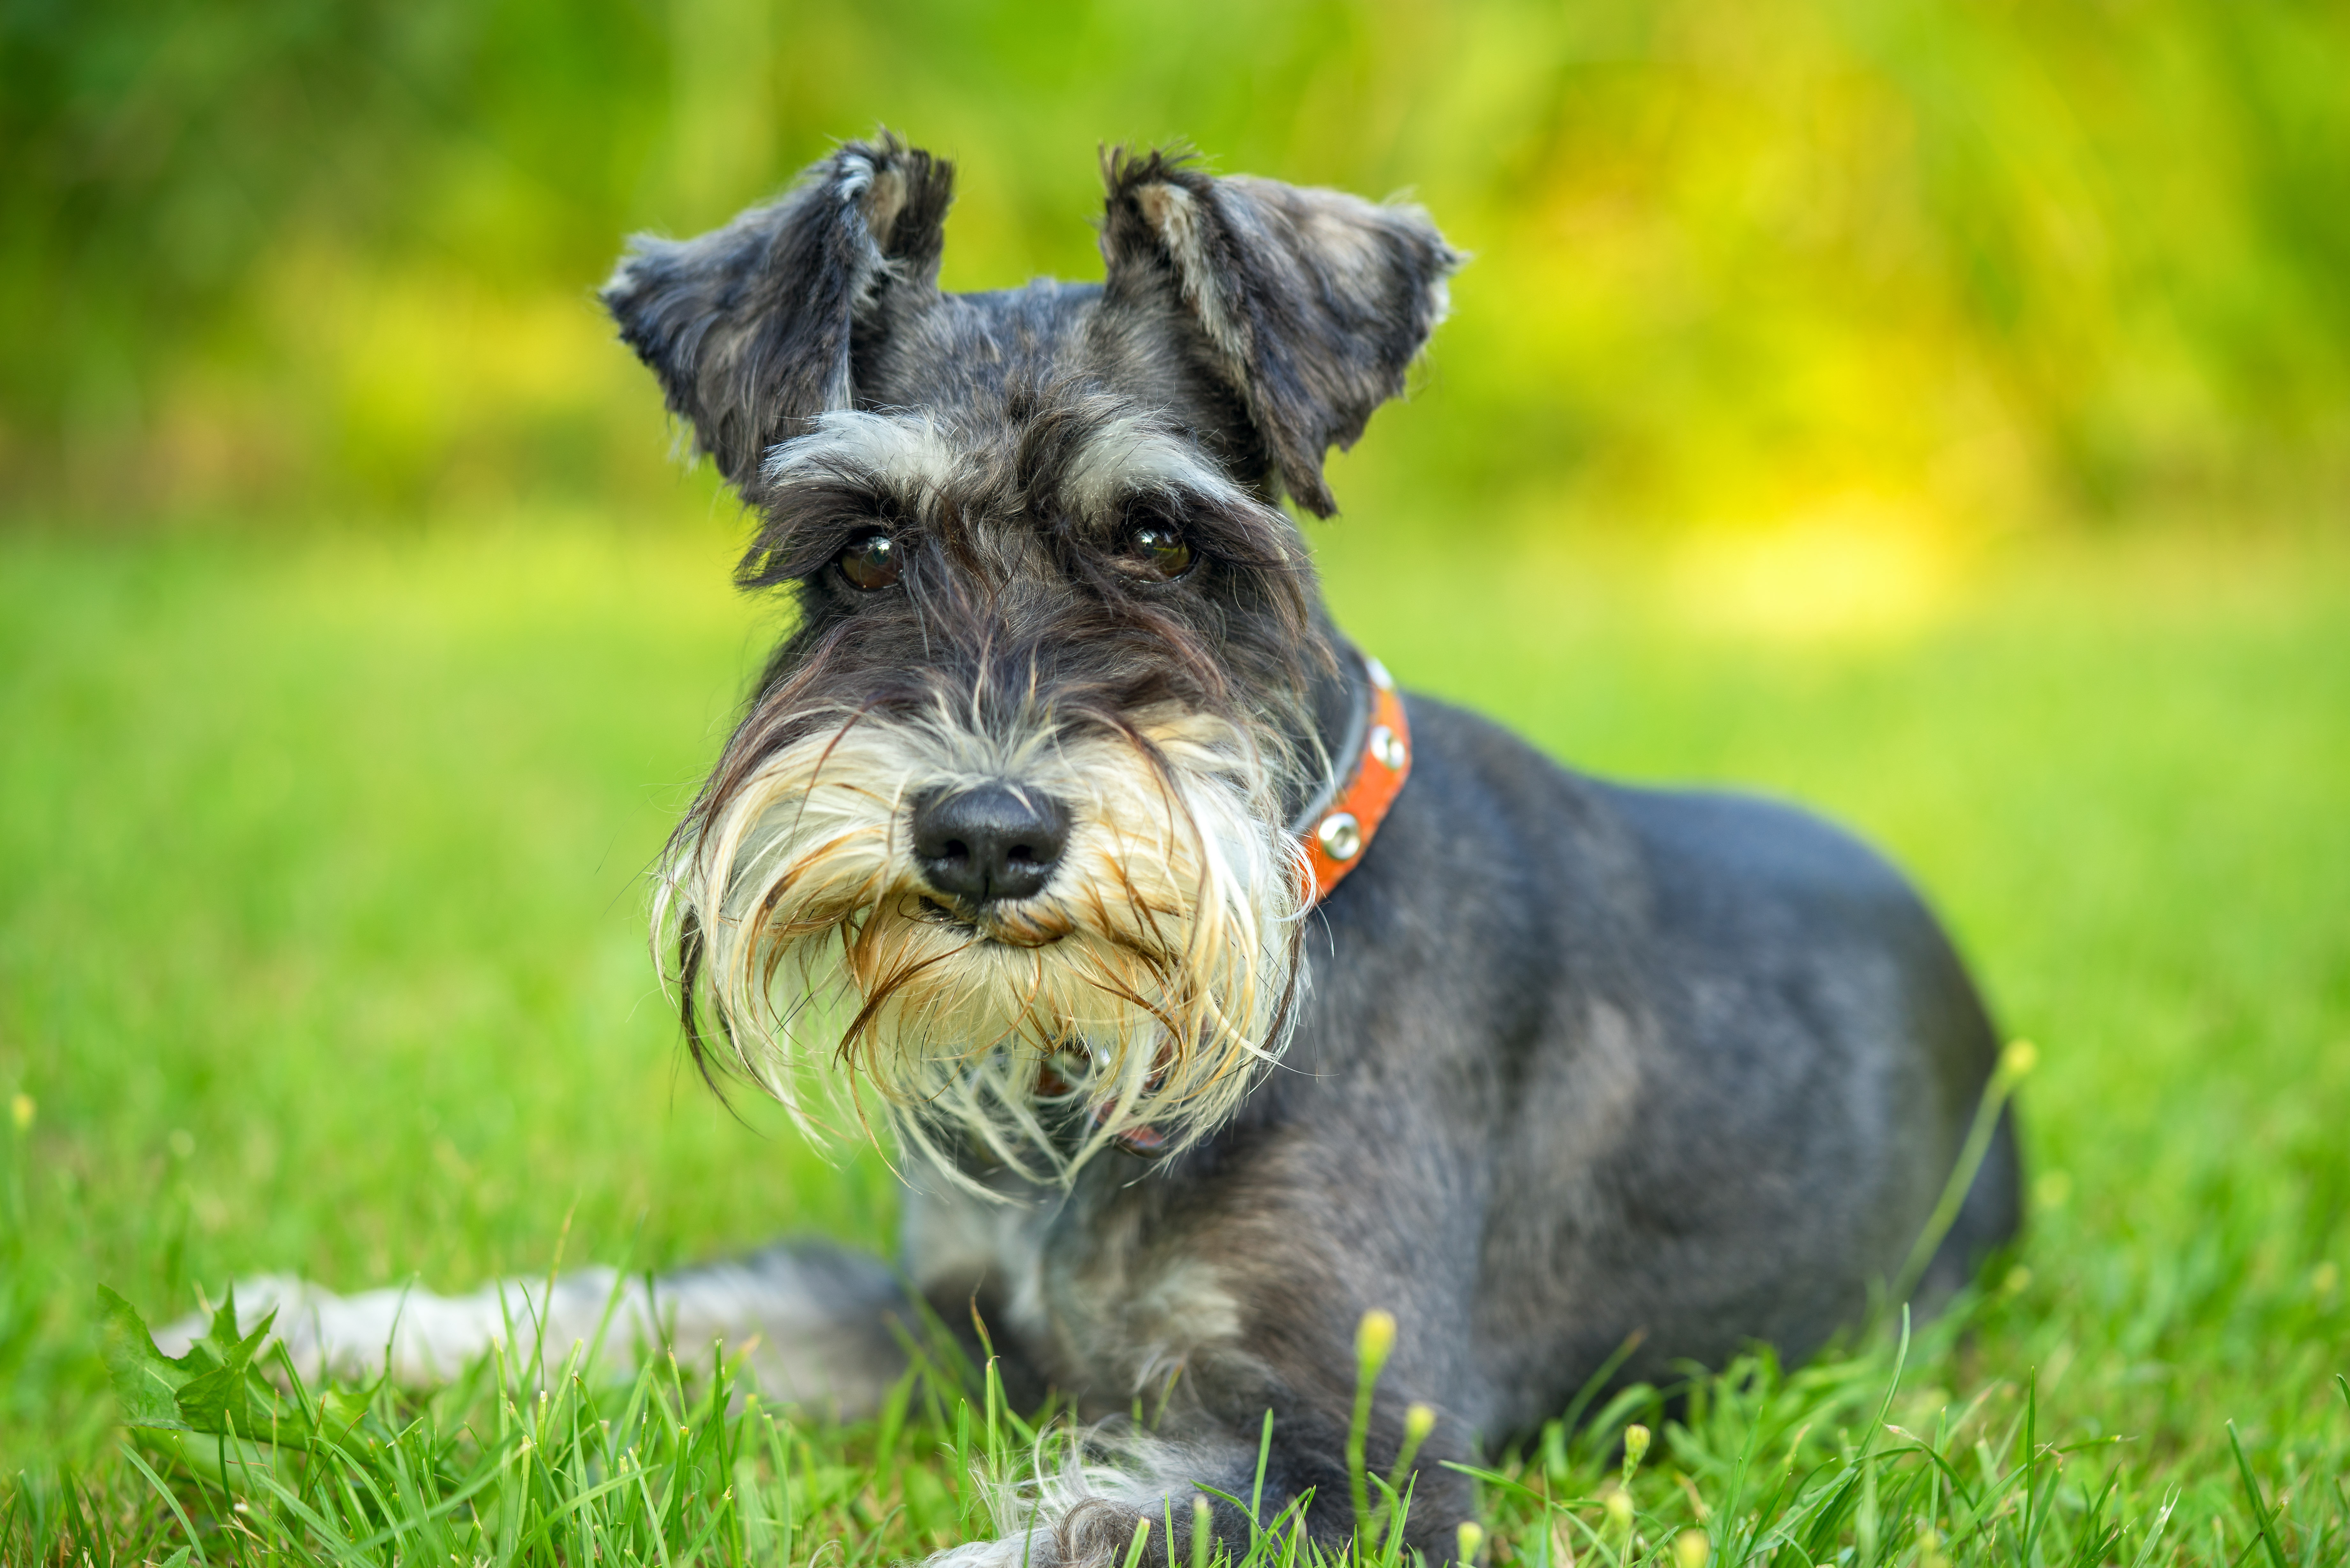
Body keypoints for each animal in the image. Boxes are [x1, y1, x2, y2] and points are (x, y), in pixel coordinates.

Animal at [178, 138, 2021, 1568]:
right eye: (861, 549)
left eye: (1159, 535)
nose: (984, 835)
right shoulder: (947, 1326)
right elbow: (653, 1307)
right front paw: (311, 1326)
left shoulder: (1348, 1458)